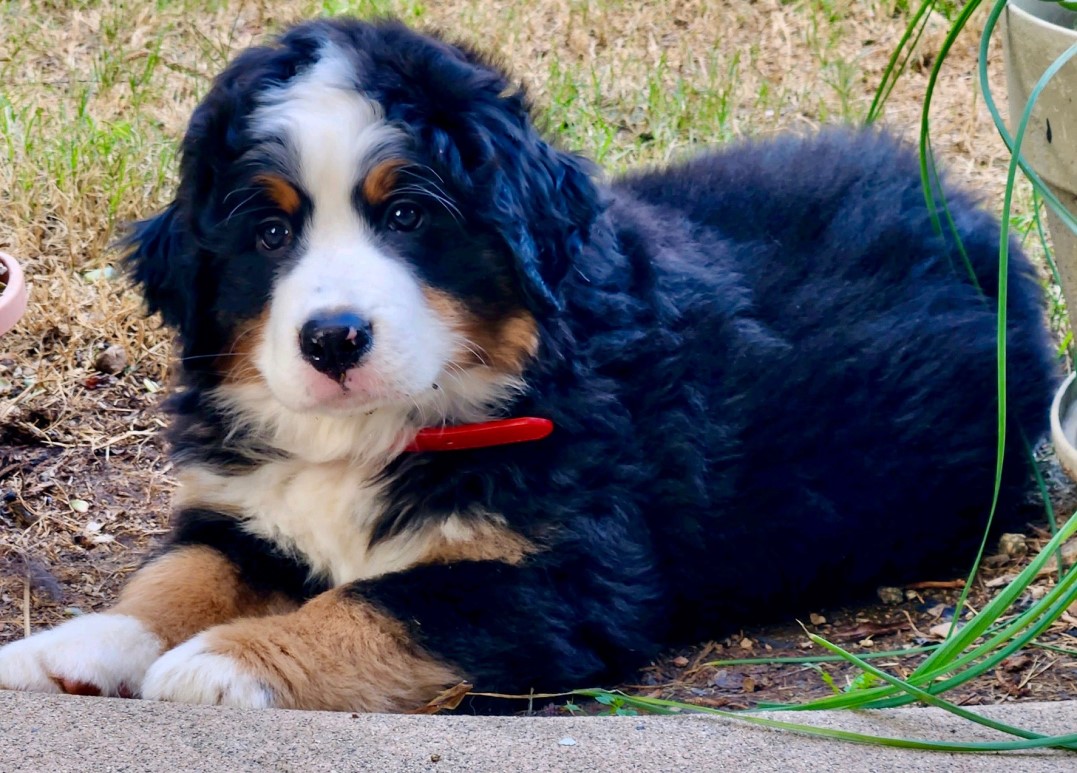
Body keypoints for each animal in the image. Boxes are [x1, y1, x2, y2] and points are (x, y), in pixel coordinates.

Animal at [0, 18, 1058, 712]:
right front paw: (77, 644)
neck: (374, 433)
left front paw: (223, 664)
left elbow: (376, 602)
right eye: (267, 232)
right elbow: (179, 573)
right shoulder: (246, 508)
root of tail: (962, 214)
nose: (333, 339)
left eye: (407, 214)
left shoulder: (556, 577)